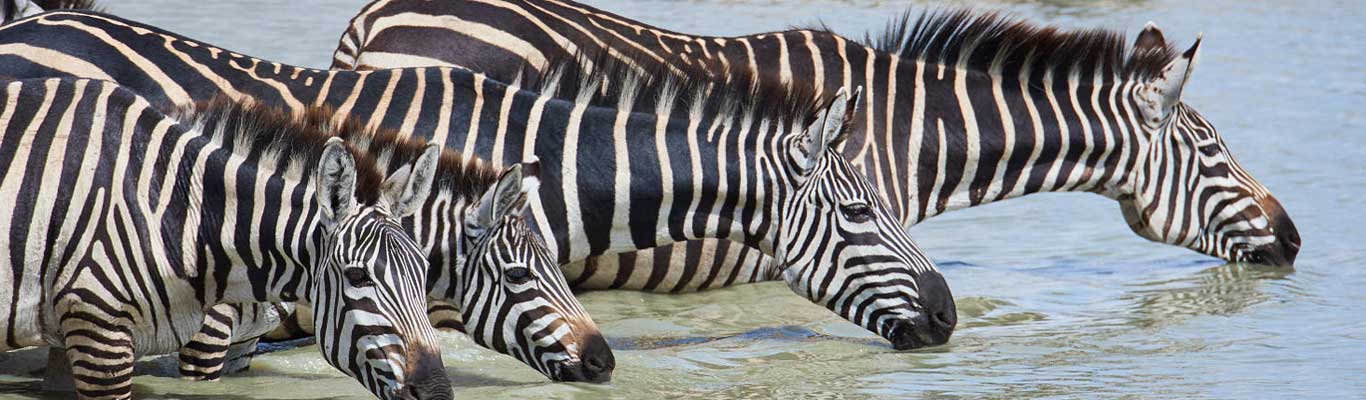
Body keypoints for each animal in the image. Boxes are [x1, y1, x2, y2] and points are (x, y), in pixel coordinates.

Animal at [0, 77, 450, 398]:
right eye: (358, 276)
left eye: (424, 271)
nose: (437, 393)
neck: (175, 214)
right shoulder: (98, 330)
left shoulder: (69, 335)